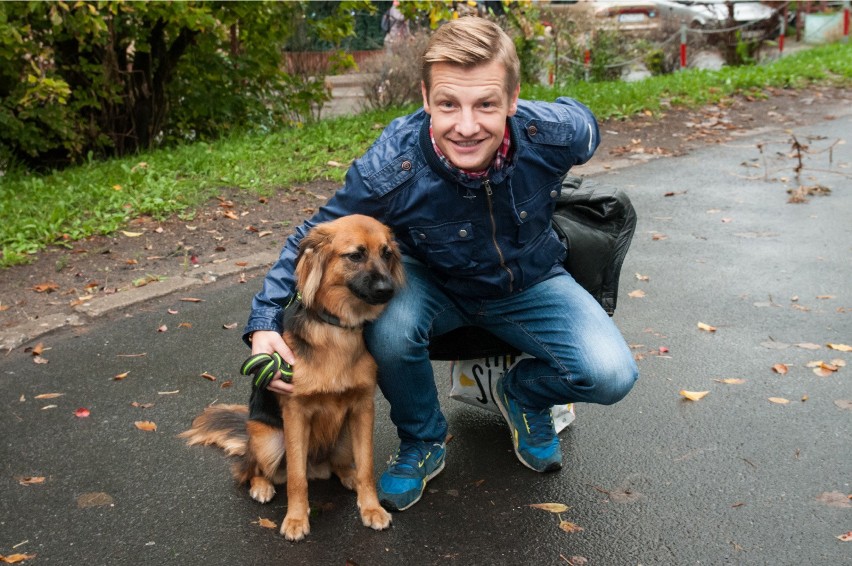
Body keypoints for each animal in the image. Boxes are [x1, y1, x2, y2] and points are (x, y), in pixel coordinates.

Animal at [181, 215, 406, 544]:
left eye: (387, 253)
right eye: (356, 255)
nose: (388, 290)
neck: (336, 330)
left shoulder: (363, 408)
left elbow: (366, 467)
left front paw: (371, 508)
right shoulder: (296, 414)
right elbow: (296, 478)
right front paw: (297, 519)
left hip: (343, 437)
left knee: (339, 465)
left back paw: (348, 475)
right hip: (267, 439)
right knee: (252, 470)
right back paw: (262, 486)